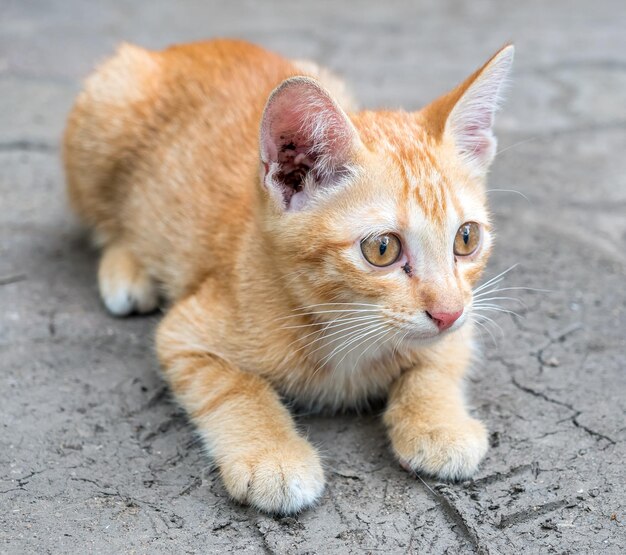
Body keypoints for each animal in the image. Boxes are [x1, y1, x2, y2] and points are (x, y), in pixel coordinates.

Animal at [63, 39, 512, 516]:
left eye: (466, 238)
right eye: (382, 249)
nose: (446, 313)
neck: (345, 328)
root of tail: (185, 47)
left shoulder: (467, 310)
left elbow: (438, 363)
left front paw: (438, 424)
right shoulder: (183, 334)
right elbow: (234, 387)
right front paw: (272, 454)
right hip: (108, 106)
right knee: (102, 219)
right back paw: (126, 265)